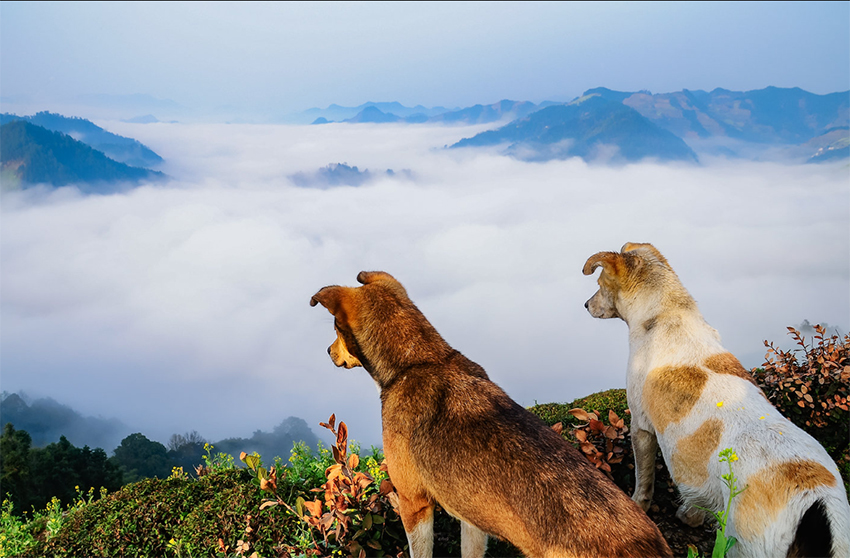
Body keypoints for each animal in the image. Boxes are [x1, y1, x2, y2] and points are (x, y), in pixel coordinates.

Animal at [584, 244, 848, 558]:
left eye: (599, 284)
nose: (585, 305)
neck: (667, 311)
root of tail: (815, 499)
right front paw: (691, 516)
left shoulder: (641, 426)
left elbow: (644, 480)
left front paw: (638, 505)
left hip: (742, 548)